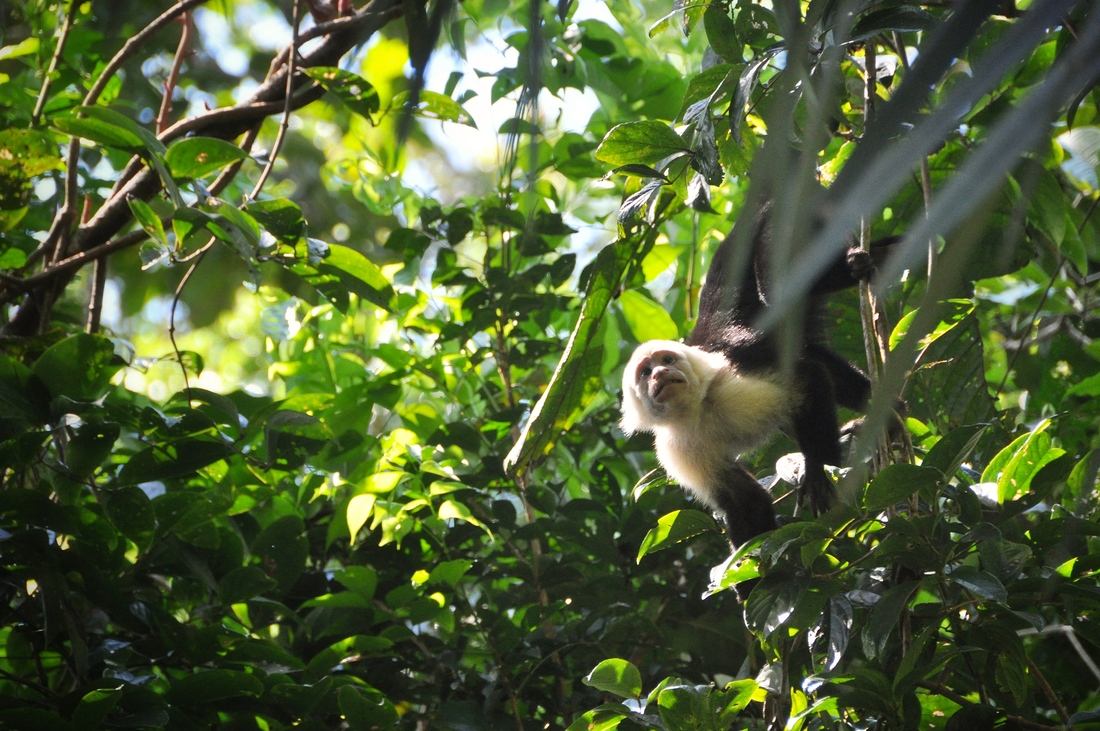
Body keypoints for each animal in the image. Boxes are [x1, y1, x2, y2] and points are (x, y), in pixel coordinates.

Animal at [621, 209, 896, 549]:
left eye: (667, 360)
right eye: (646, 372)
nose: (661, 373)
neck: (695, 410)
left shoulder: (727, 383)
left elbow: (807, 380)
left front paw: (821, 469)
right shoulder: (678, 447)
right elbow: (744, 501)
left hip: (782, 224)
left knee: (780, 289)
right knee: (812, 352)